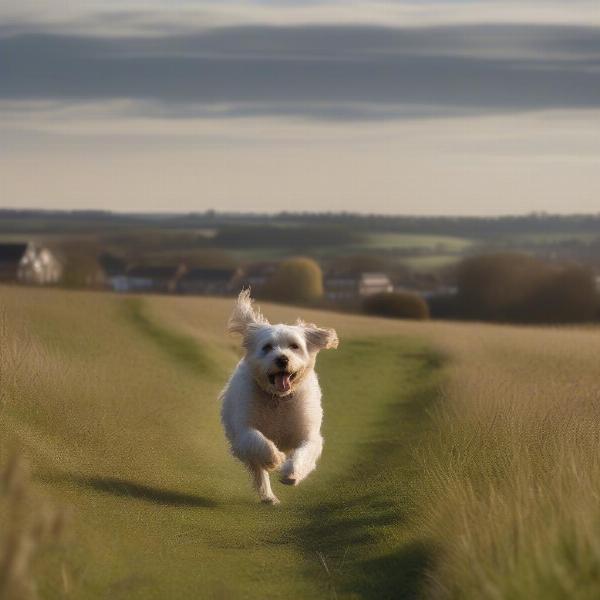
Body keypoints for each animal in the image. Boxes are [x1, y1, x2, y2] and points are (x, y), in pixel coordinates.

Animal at [221, 288, 338, 504]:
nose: (282, 359)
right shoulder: (243, 430)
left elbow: (303, 452)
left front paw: (291, 473)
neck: (279, 398)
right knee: (258, 471)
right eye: (267, 347)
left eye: (294, 346)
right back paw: (268, 496)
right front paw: (275, 458)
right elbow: (258, 440)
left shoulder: (308, 434)